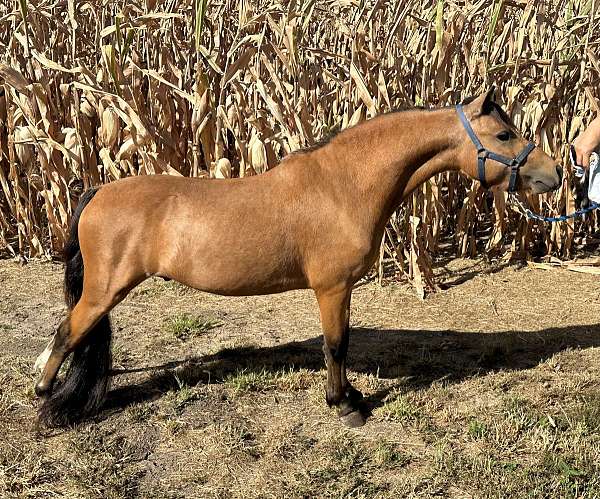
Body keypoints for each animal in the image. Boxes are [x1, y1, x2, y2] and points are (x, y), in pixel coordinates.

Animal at [35, 89, 564, 426]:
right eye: (503, 135)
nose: (554, 174)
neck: (343, 185)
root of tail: (98, 191)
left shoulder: (342, 289)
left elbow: (343, 343)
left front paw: (350, 395)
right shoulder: (331, 287)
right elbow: (336, 346)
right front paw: (344, 406)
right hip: (104, 292)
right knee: (65, 335)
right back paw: (44, 399)